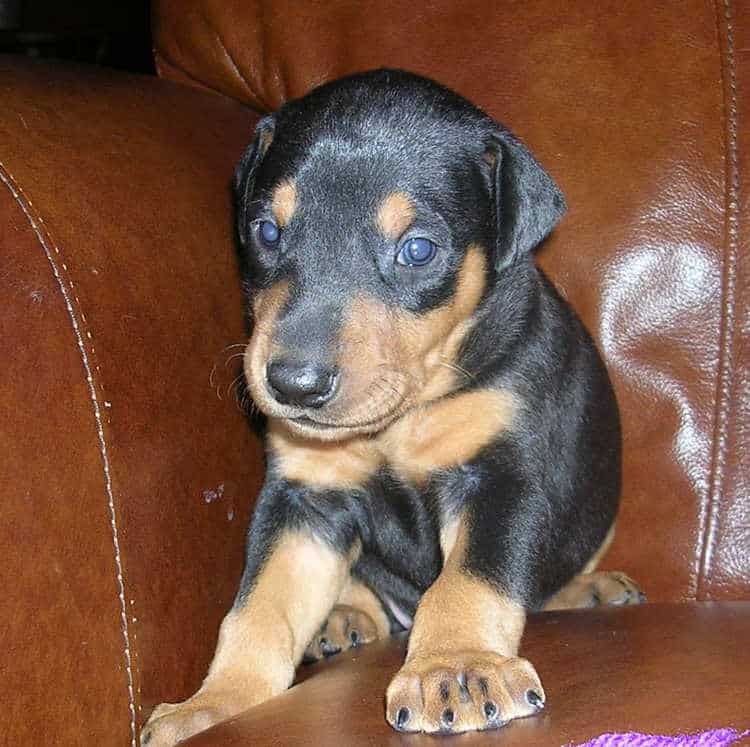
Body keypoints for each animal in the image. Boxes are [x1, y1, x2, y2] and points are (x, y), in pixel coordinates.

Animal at [142, 68, 648, 744]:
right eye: (267, 231)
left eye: (418, 250)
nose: (293, 385)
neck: (400, 417)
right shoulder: (306, 499)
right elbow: (258, 609)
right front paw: (213, 704)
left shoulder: (499, 478)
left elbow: (469, 581)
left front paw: (456, 669)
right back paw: (342, 619)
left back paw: (592, 590)